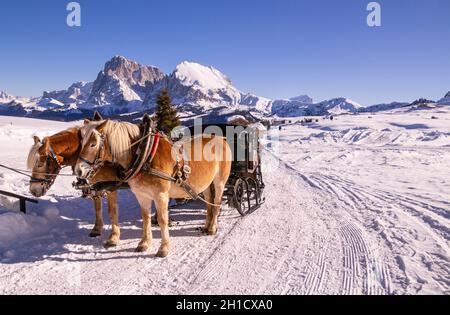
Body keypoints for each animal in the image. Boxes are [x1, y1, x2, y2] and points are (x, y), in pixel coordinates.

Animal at [75, 119, 232, 258]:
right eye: (82, 142)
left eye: (93, 144)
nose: (78, 170)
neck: (144, 155)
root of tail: (221, 138)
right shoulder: (142, 195)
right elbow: (146, 218)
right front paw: (144, 243)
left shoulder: (161, 195)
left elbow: (162, 220)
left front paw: (164, 248)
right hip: (205, 184)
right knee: (208, 204)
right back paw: (206, 225)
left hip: (220, 181)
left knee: (216, 203)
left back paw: (212, 228)